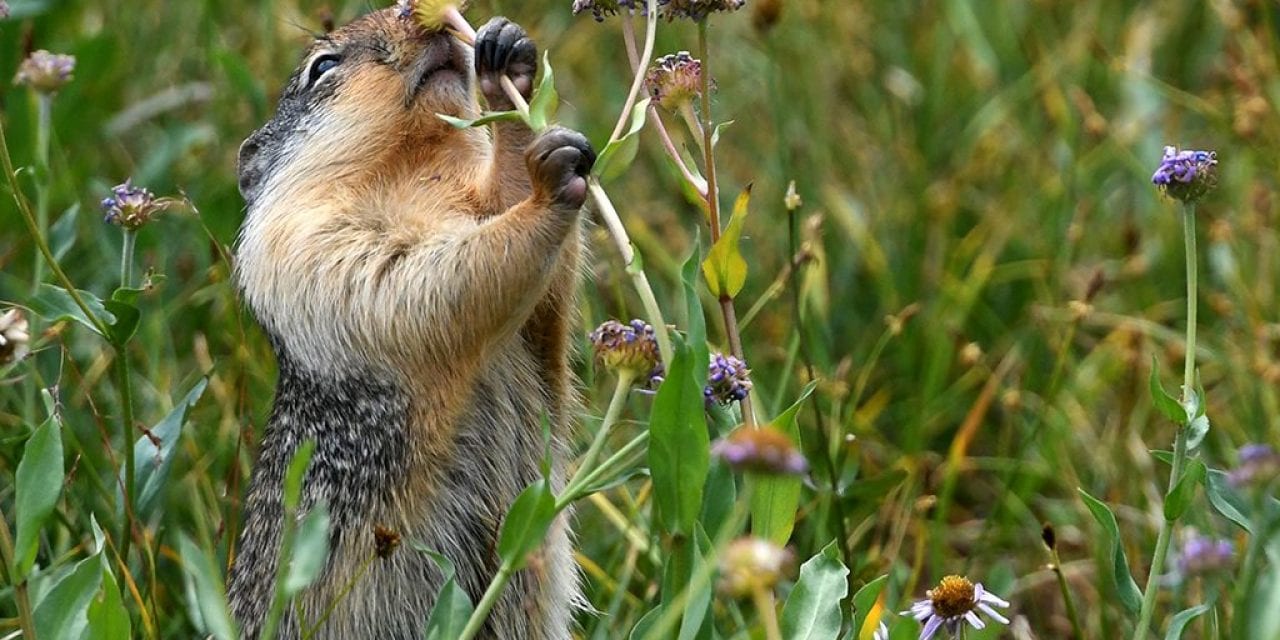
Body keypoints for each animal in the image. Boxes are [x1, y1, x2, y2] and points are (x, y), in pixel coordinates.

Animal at [226, 7, 593, 637]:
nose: (414, 10)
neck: (410, 164)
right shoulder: (309, 243)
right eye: (322, 66)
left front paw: (508, 65)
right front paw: (547, 185)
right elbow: (421, 274)